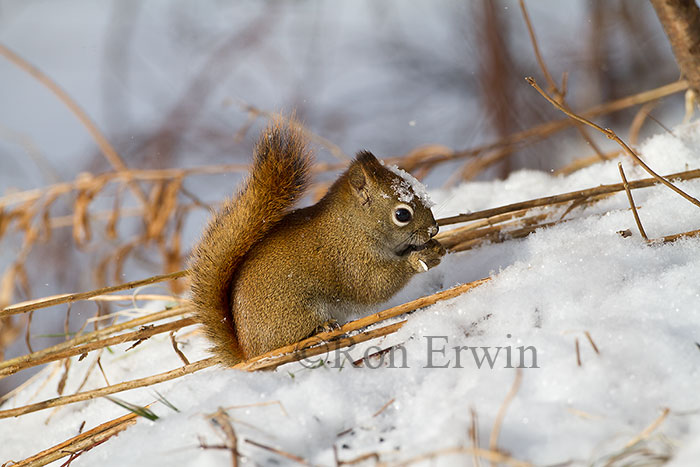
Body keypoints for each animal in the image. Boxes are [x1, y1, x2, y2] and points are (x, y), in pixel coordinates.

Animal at [189, 120, 445, 366]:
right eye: (402, 215)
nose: (434, 229)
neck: (353, 225)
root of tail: (249, 353)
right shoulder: (350, 259)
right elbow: (374, 284)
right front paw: (419, 259)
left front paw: (436, 247)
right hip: (295, 313)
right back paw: (322, 329)